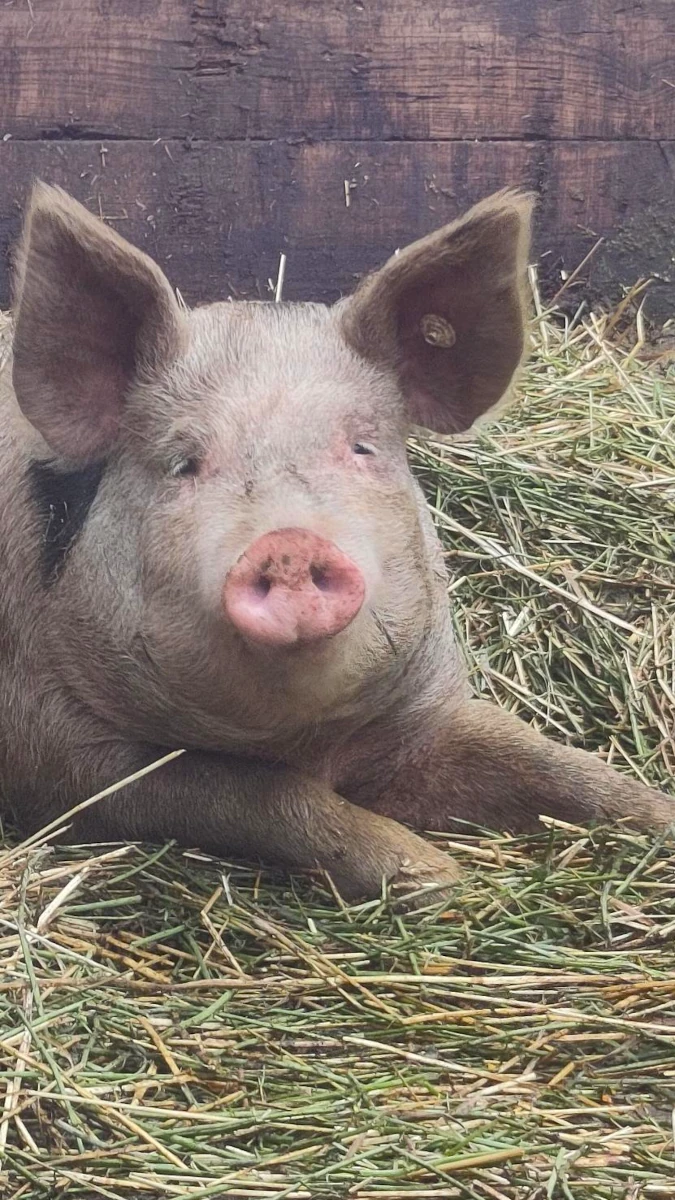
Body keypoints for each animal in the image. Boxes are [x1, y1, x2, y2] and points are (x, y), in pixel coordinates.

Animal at [0, 183, 671, 902]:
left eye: (361, 448)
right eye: (184, 463)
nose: (288, 544)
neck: (305, 742)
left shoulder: (426, 706)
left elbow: (538, 757)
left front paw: (658, 816)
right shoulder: (58, 751)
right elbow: (248, 794)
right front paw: (437, 877)